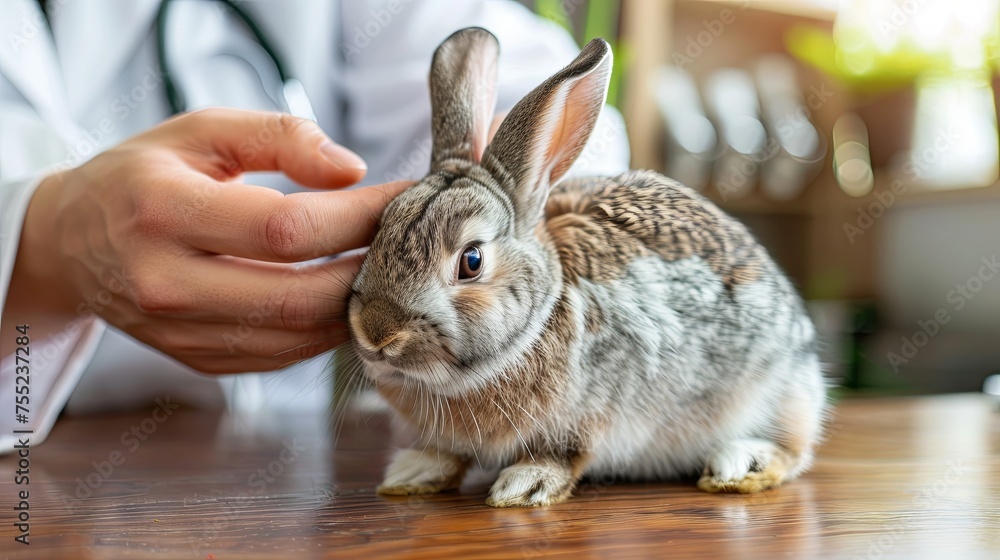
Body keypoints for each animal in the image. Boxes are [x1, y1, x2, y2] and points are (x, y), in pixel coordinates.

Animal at [345, 27, 827, 508]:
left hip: (777, 390)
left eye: (472, 261)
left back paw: (740, 464)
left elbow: (564, 455)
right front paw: (413, 473)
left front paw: (525, 484)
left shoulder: (595, 415)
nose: (377, 333)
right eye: (378, 232)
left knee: (794, 450)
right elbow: (447, 453)